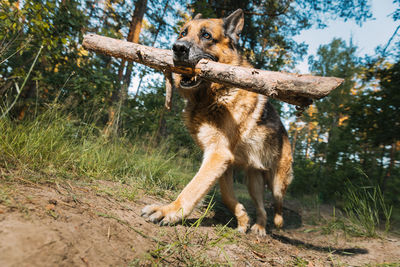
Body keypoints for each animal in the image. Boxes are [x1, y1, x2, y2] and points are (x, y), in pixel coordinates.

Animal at [141, 8, 294, 237]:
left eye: (206, 36)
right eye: (183, 33)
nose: (177, 48)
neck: (211, 96)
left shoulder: (218, 154)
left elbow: (192, 188)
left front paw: (168, 211)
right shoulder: (222, 162)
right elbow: (227, 196)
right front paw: (242, 218)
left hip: (277, 183)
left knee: (277, 204)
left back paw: (276, 222)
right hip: (254, 182)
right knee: (261, 206)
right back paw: (259, 226)